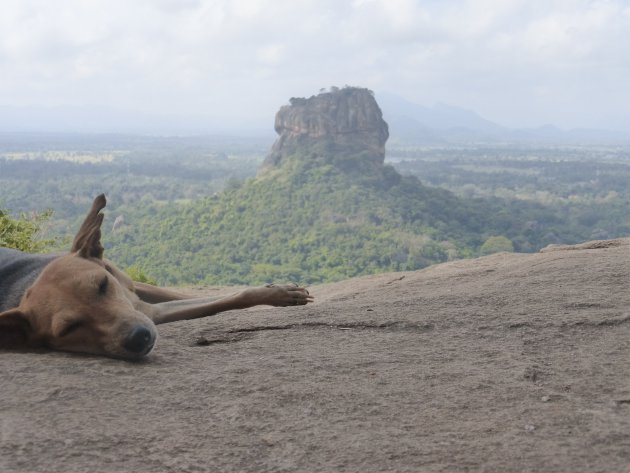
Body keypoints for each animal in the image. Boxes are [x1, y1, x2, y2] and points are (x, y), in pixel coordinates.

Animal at [0, 195, 314, 358]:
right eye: (69, 329)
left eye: (102, 285)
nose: (138, 338)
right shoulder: (151, 312)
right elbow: (224, 299)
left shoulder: (134, 289)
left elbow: (192, 294)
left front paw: (281, 292)